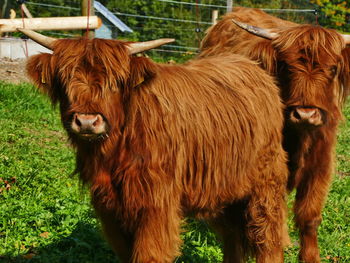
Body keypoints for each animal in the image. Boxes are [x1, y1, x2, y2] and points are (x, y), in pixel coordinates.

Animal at [22, 28, 290, 263]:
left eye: (115, 82)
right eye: (65, 79)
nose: (87, 122)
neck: (115, 152)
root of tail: (253, 67)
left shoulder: (157, 203)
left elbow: (149, 254)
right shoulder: (109, 206)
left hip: (266, 183)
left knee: (268, 236)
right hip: (224, 190)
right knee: (233, 236)